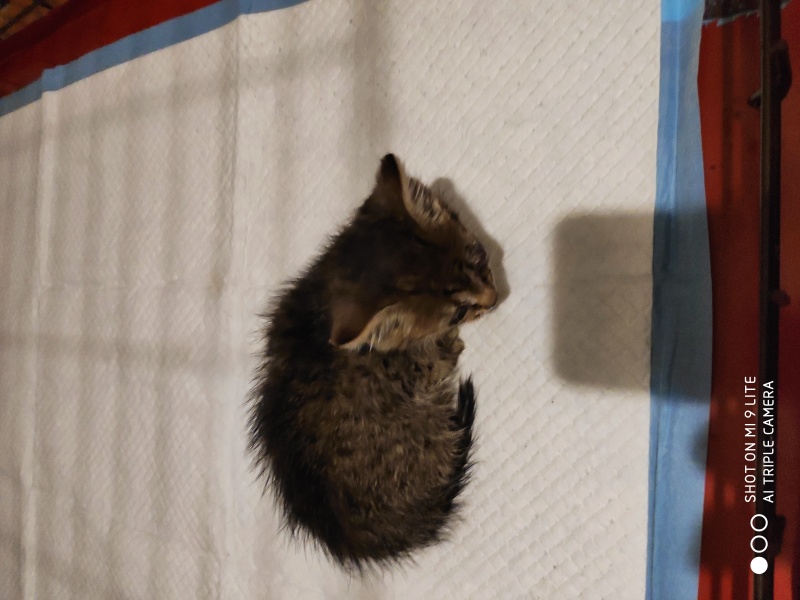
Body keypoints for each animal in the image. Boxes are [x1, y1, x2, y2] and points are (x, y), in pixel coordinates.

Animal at [249, 154, 498, 571]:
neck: (321, 294)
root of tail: (360, 541)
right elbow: (440, 358)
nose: (494, 299)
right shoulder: (422, 370)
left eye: (479, 257)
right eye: (458, 312)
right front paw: (451, 344)